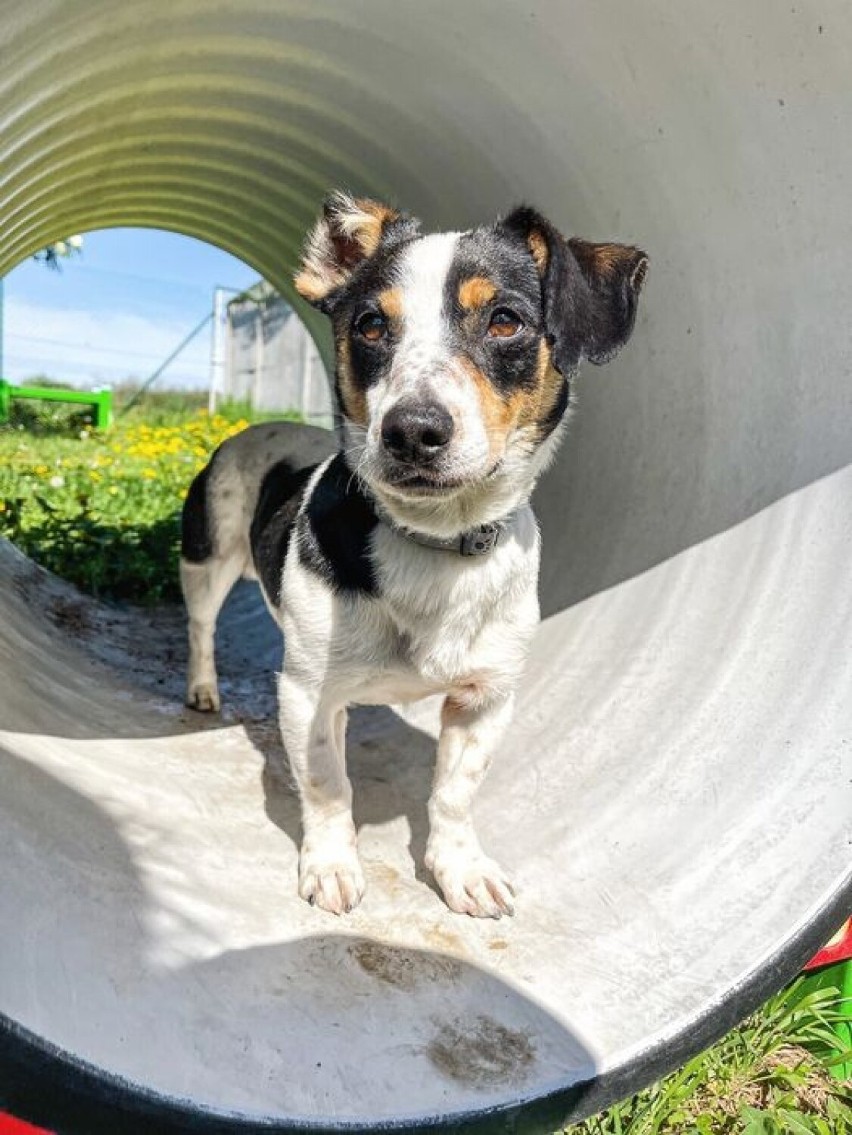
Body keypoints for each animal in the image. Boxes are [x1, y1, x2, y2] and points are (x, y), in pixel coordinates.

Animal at [180, 192, 644, 921]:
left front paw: (462, 870)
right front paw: (332, 865)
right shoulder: (307, 694)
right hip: (206, 557)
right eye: (370, 325)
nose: (412, 430)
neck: (436, 543)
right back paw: (203, 687)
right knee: (200, 627)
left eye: (506, 320)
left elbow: (454, 794)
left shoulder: (487, 697)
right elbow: (328, 785)